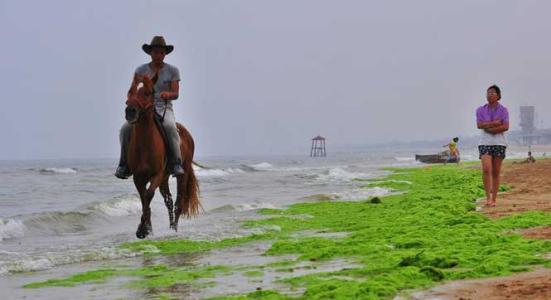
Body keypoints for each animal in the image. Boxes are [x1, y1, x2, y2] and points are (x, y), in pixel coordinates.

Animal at [125, 75, 201, 239]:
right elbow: (144, 200)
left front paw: (142, 229)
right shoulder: (138, 177)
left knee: (179, 202)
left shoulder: (157, 175)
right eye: (130, 91)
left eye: (148, 92)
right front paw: (147, 229)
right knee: (169, 200)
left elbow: (148, 196)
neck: (145, 143)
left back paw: (174, 229)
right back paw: (170, 227)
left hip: (181, 174)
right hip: (164, 179)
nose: (130, 112)